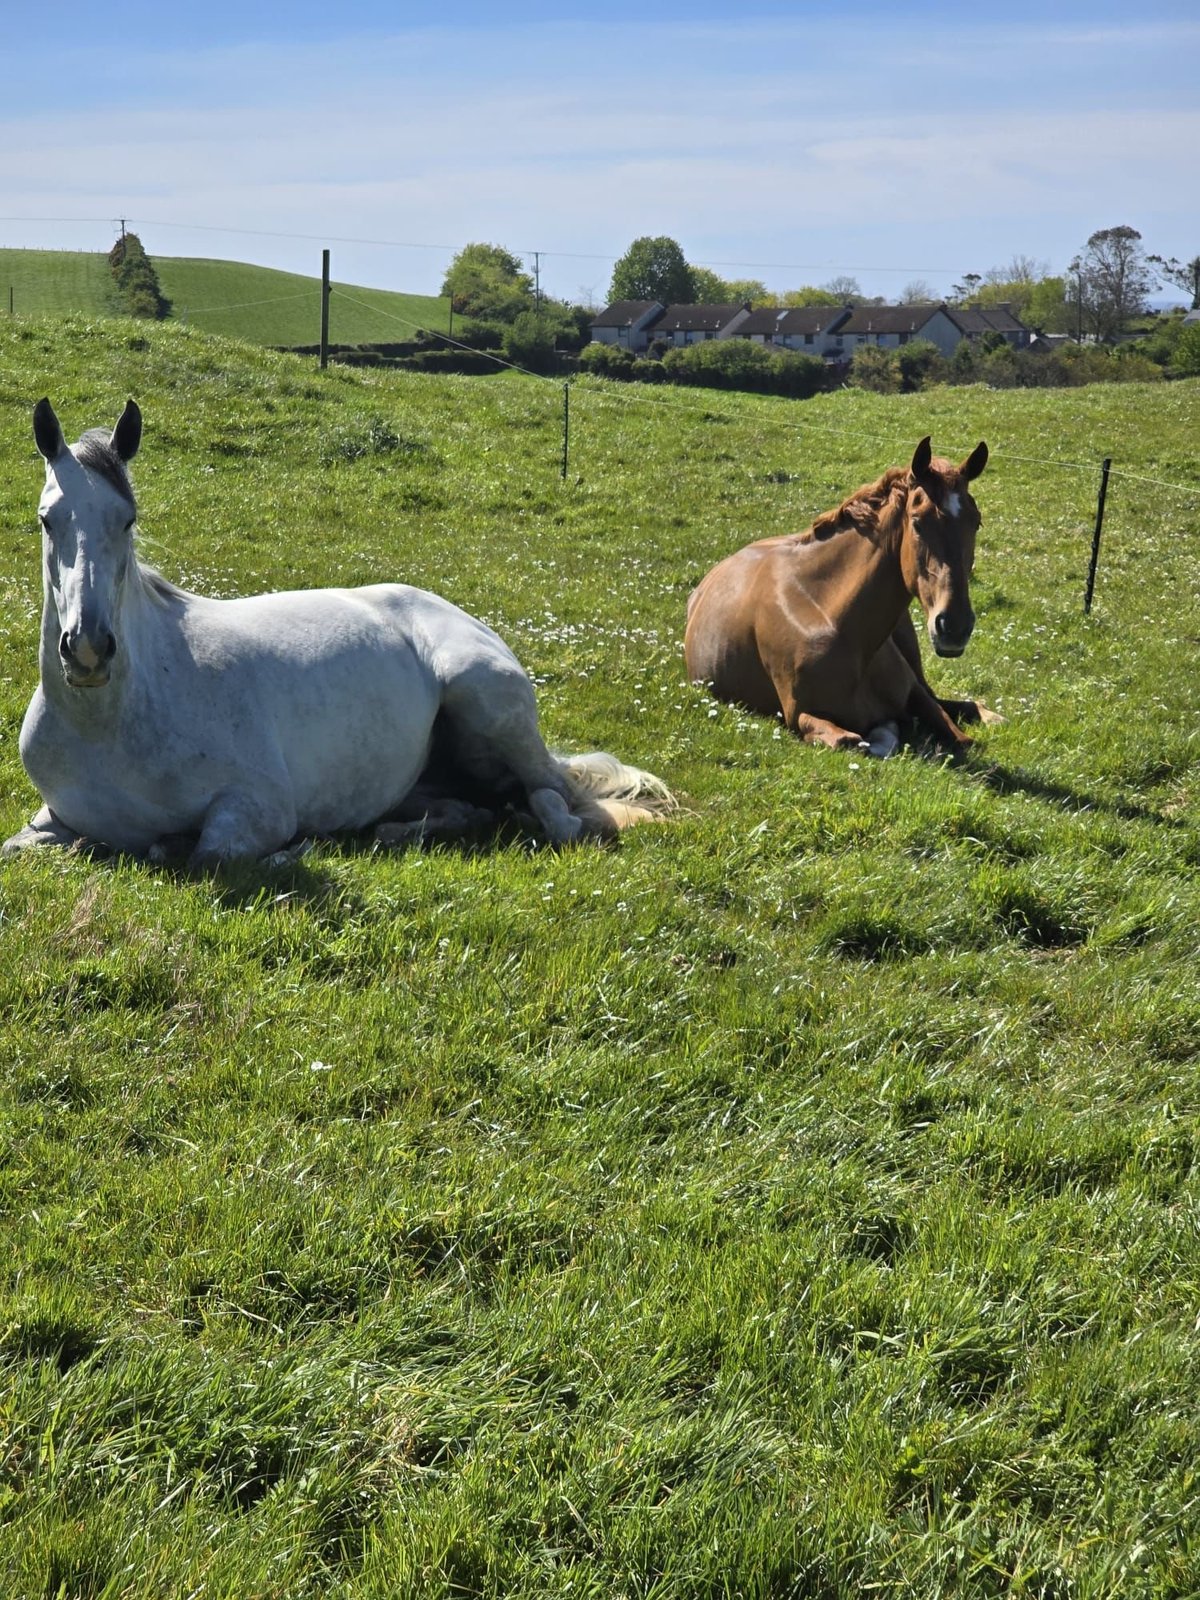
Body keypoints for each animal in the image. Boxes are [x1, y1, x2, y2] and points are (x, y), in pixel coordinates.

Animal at [3, 399, 673, 867]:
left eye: (128, 519)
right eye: (47, 520)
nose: (88, 650)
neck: (109, 724)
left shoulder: (257, 811)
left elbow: (205, 853)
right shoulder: (47, 819)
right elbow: (23, 846)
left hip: (488, 703)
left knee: (558, 809)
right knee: (473, 809)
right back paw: (393, 831)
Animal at [684, 437, 999, 757]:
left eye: (976, 522)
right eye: (918, 523)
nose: (954, 627)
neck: (831, 616)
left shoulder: (914, 692)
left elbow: (960, 735)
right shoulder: (800, 715)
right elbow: (853, 740)